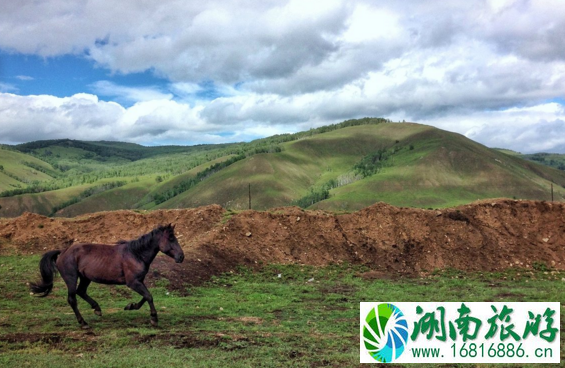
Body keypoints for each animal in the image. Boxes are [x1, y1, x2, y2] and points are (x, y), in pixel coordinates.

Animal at [29, 223, 184, 330]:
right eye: (171, 238)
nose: (181, 257)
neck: (135, 254)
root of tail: (63, 252)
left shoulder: (139, 281)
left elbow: (145, 297)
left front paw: (130, 306)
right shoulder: (133, 282)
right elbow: (149, 296)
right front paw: (154, 319)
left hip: (85, 278)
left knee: (81, 292)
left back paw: (97, 309)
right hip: (71, 279)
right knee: (72, 299)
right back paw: (83, 323)